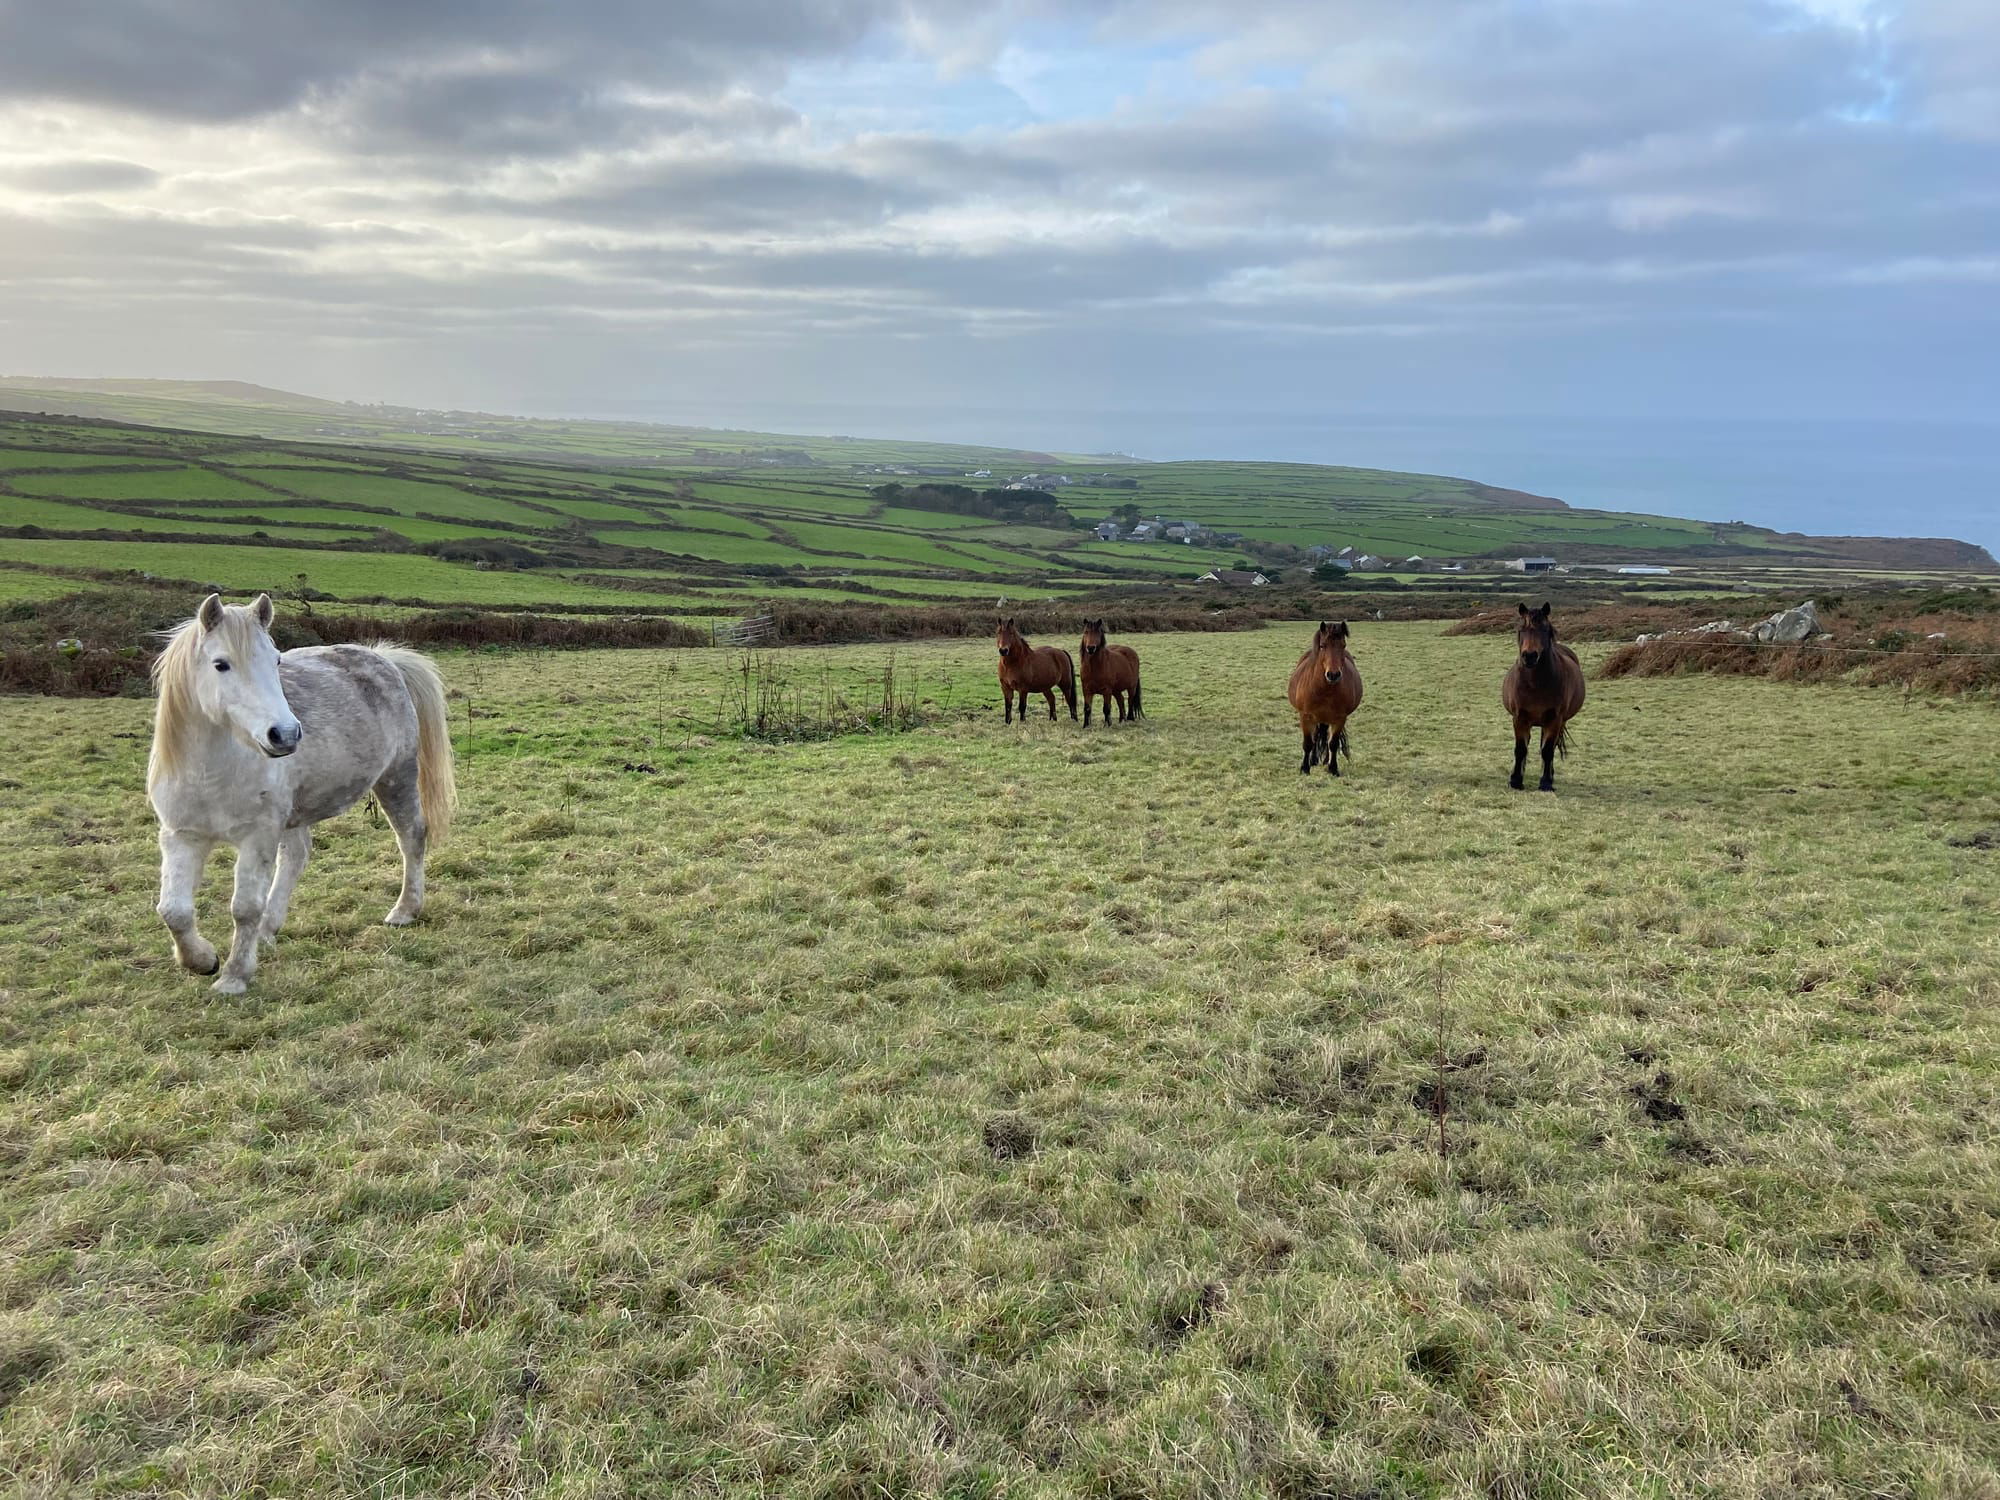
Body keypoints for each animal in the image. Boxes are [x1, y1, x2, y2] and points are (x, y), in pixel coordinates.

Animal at [146, 596, 456, 1000]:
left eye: (276, 660)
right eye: (221, 664)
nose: (286, 734)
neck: (211, 772)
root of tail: (383, 658)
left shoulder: (258, 836)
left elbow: (244, 907)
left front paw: (234, 976)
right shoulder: (181, 837)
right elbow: (173, 911)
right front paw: (202, 960)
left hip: (396, 778)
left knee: (412, 837)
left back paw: (405, 911)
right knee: (297, 855)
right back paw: (268, 930)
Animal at [1288, 624, 1368, 776]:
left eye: (1343, 645)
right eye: (1322, 646)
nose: (1333, 675)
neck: (1325, 690)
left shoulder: (1340, 718)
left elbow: (1333, 744)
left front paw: (1333, 768)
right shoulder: (1305, 716)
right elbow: (1308, 743)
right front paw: (1305, 768)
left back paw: (1325, 761)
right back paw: (1313, 760)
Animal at [1504, 600, 1592, 792]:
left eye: (1544, 629)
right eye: (1521, 629)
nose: (1529, 656)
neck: (1535, 684)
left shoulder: (1554, 719)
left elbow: (1547, 750)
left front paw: (1545, 782)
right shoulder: (1519, 718)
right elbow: (1520, 749)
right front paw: (1515, 780)